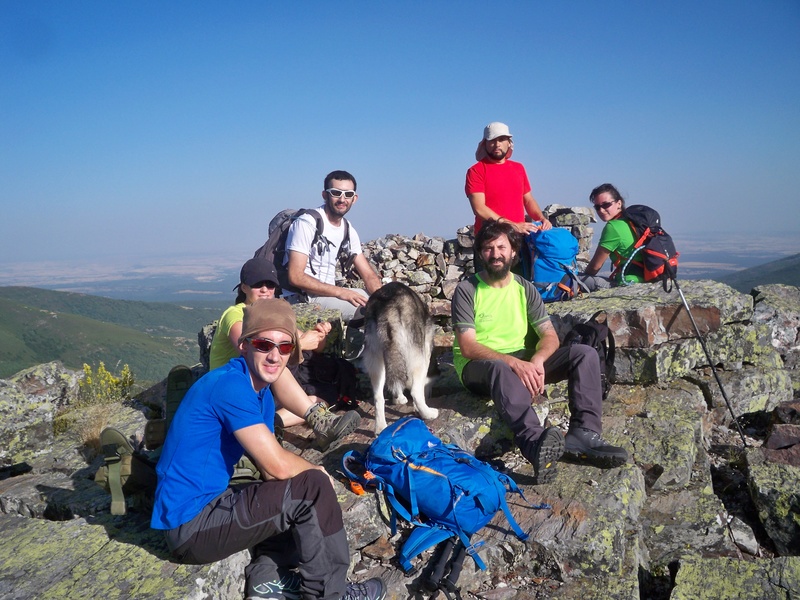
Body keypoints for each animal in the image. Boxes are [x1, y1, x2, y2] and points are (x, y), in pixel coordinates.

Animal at [362, 282, 438, 432]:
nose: (431, 394)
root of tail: (388, 307)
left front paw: (398, 398)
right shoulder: (424, 350)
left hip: (375, 359)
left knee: (378, 396)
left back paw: (380, 428)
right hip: (418, 358)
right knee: (415, 392)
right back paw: (428, 413)